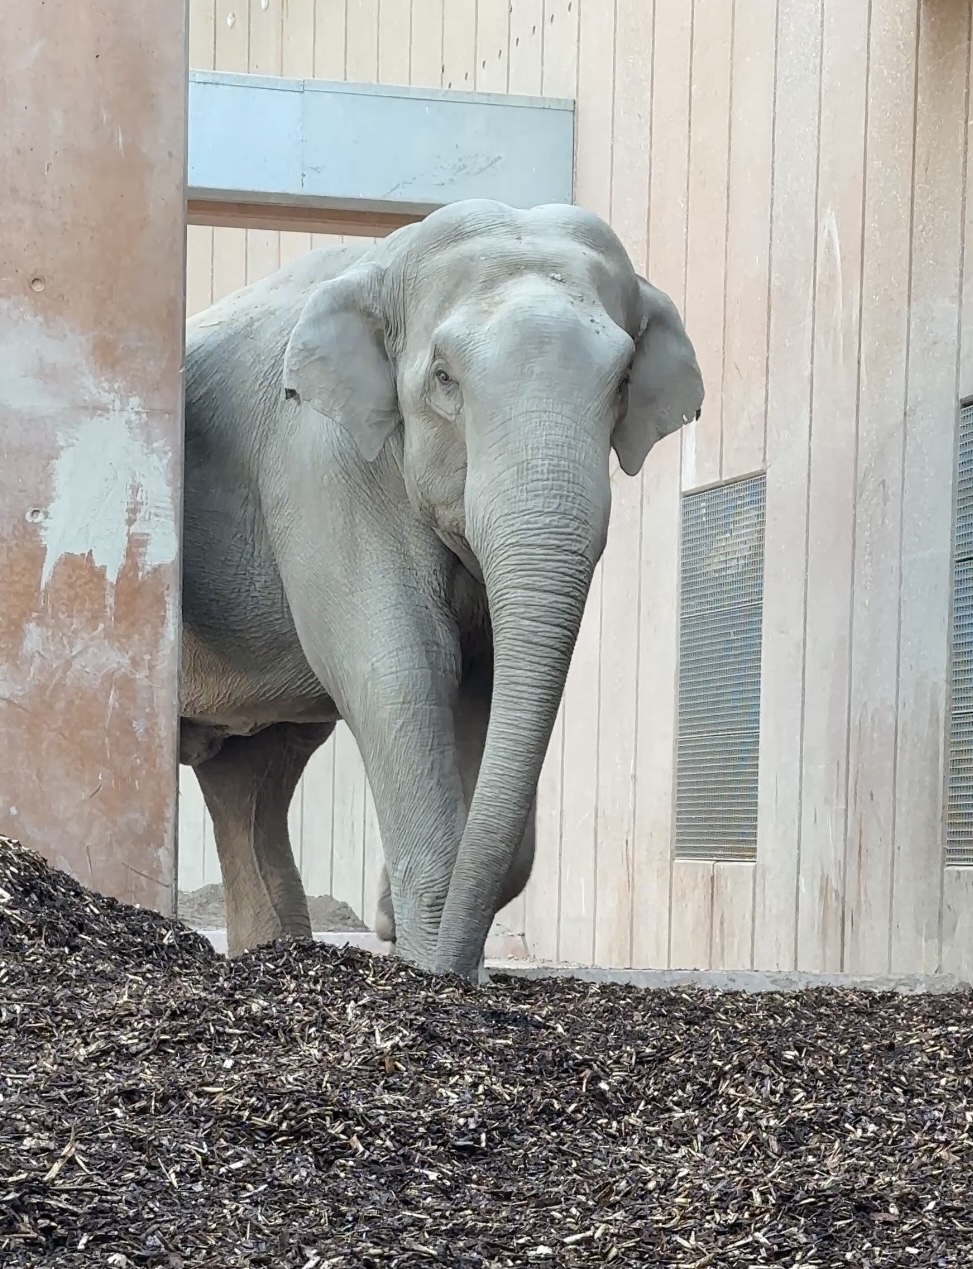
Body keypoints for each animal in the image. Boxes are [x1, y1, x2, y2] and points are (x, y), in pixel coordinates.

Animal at [179, 197, 704, 982]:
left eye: (621, 383)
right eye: (444, 378)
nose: (388, 929)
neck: (386, 261)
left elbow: (480, 680)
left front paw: (421, 942)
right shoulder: (321, 463)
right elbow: (403, 667)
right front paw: (424, 959)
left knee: (252, 781)